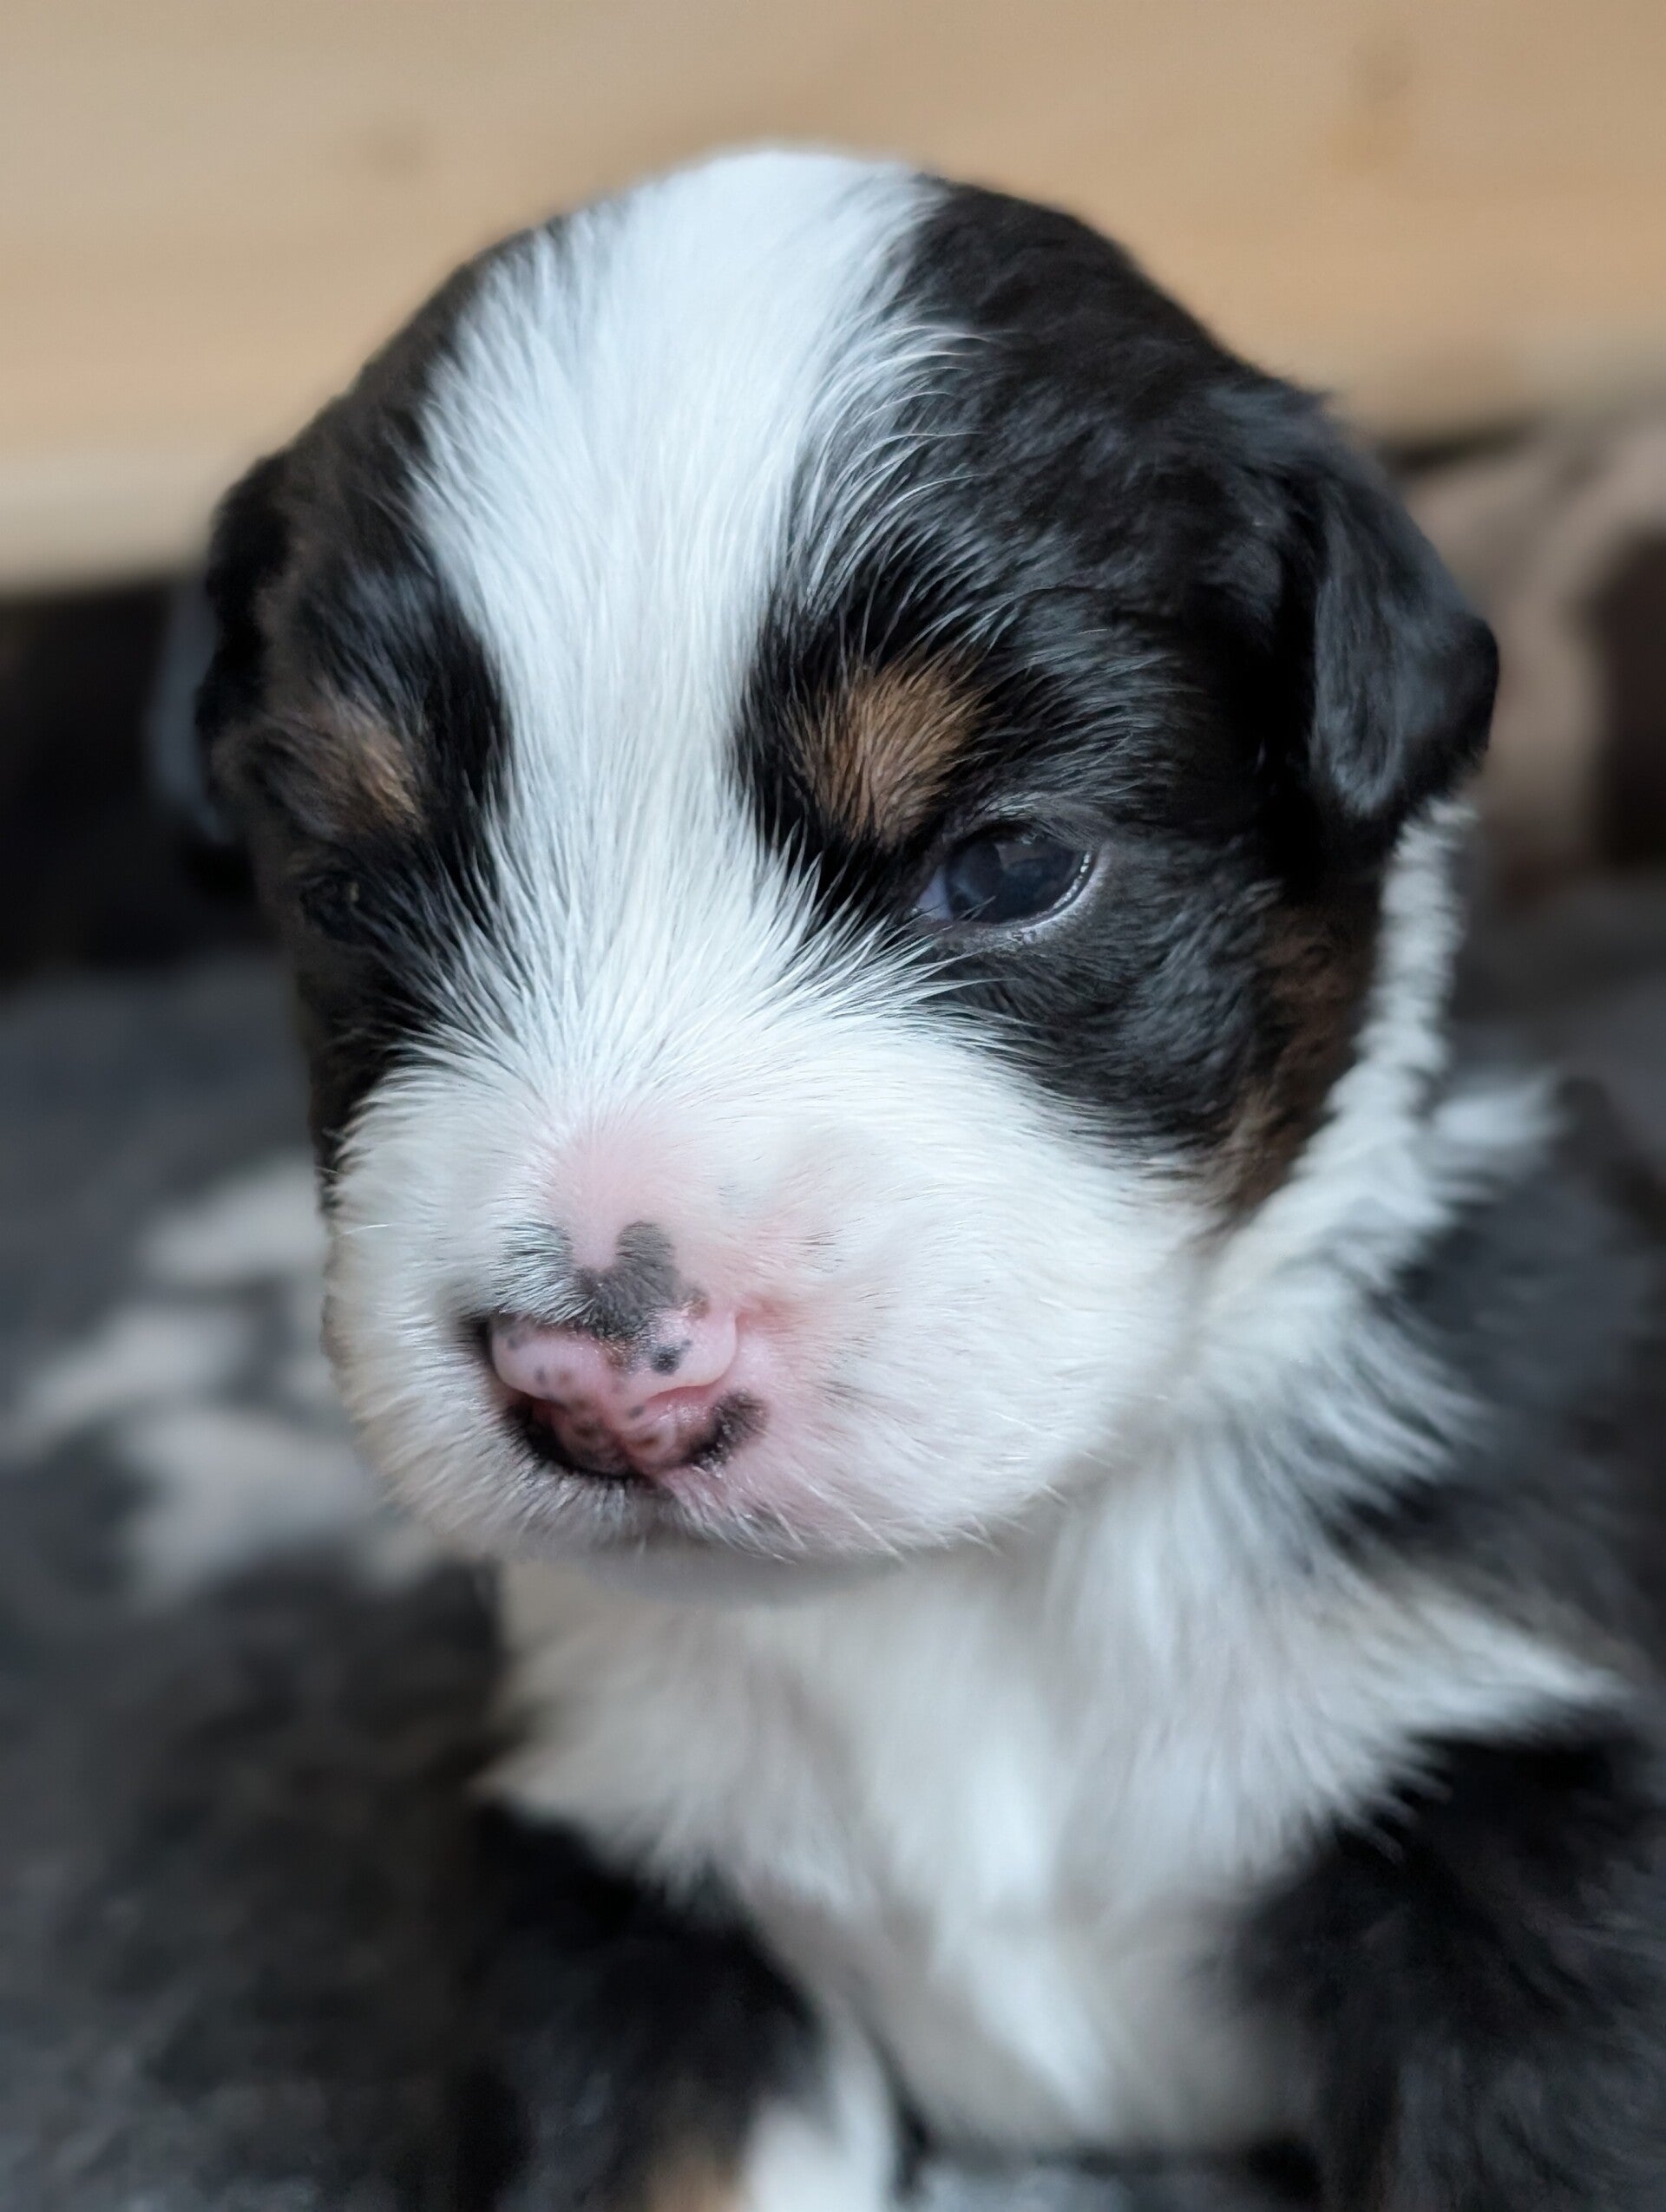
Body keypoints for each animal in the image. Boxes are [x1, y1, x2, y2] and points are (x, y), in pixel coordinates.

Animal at [196, 150, 1666, 2209]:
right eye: (344, 892)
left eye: (1009, 864)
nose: (597, 1386)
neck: (986, 1581)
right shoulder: (637, 1880)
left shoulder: (1513, 1807)